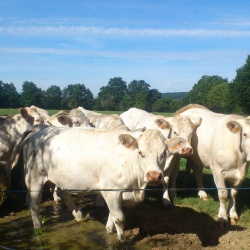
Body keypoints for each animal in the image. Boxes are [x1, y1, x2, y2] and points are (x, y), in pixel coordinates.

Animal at [6, 126, 182, 241]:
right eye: (141, 153)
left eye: (164, 153)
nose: (154, 176)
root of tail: (40, 130)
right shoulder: (112, 190)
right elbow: (119, 218)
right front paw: (121, 240)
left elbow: (113, 214)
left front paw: (109, 229)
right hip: (34, 176)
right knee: (34, 202)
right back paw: (38, 228)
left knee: (63, 193)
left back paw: (79, 217)